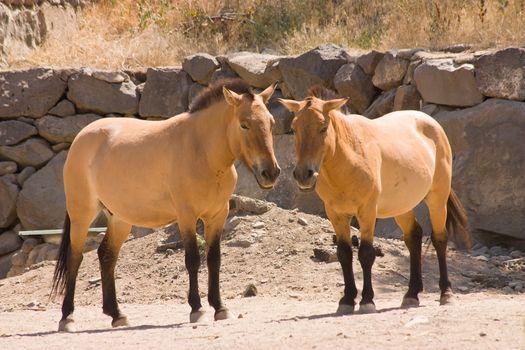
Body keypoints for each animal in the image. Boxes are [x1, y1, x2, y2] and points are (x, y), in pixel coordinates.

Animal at [51, 78, 280, 330]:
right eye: (244, 125)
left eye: (271, 122)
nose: (270, 173)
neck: (201, 150)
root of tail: (81, 137)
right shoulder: (187, 216)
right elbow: (193, 259)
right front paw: (197, 309)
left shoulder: (218, 215)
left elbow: (214, 260)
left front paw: (220, 308)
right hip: (82, 213)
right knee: (75, 258)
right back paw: (67, 318)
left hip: (119, 219)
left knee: (106, 256)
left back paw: (117, 314)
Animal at [278, 87, 470, 314]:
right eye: (293, 128)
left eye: (323, 128)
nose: (303, 175)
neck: (350, 159)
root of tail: (432, 123)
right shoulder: (336, 214)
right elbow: (344, 254)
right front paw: (346, 300)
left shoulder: (367, 211)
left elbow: (366, 254)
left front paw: (367, 300)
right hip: (401, 206)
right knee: (414, 237)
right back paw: (411, 294)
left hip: (437, 199)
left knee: (440, 239)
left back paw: (446, 294)